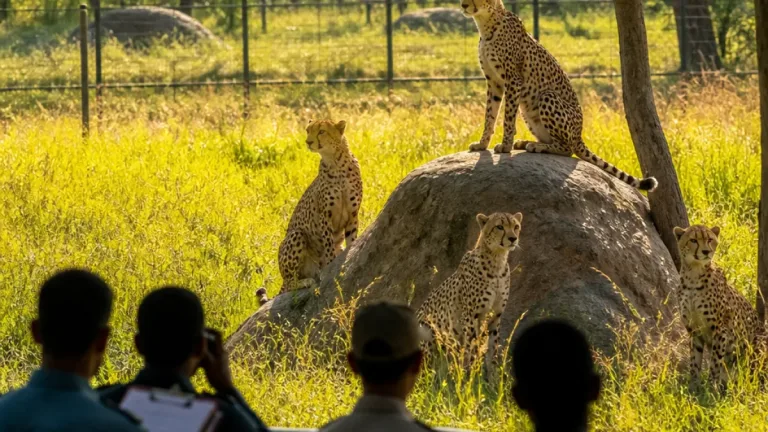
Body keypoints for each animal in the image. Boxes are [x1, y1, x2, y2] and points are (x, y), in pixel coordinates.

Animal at [257, 119, 363, 306]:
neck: (335, 161)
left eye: (321, 131)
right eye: (308, 130)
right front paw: (330, 266)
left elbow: (351, 240)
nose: (308, 141)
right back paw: (305, 281)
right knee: (290, 283)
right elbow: (328, 245)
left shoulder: (352, 214)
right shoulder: (324, 216)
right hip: (296, 234)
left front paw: (349, 257)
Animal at [417, 212, 522, 369]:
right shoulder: (471, 316)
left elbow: (492, 350)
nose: (513, 238)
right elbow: (471, 349)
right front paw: (471, 372)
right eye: (499, 227)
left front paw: (492, 375)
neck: (497, 259)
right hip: (429, 333)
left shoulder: (495, 315)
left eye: (516, 226)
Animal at [461, 0, 657, 191]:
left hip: (547, 97)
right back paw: (526, 143)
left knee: (567, 148)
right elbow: (489, 116)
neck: (487, 23)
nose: (463, 5)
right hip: (528, 111)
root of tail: (579, 135)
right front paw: (482, 144)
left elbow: (507, 118)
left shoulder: (513, 80)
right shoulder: (493, 82)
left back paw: (537, 146)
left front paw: (505, 146)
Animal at [674, 224, 766, 390]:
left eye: (710, 239)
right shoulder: (694, 331)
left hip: (757, 345)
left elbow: (715, 363)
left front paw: (711, 387)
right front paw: (694, 387)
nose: (706, 251)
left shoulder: (721, 331)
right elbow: (695, 361)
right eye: (693, 240)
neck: (694, 276)